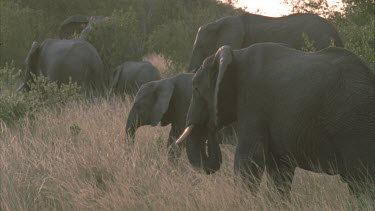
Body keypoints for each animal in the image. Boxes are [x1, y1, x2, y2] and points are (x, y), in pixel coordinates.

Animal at [177, 43, 375, 199]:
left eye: (196, 88)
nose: (210, 125)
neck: (236, 54)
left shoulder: (253, 103)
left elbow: (249, 159)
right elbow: (279, 169)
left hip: (355, 124)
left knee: (361, 182)